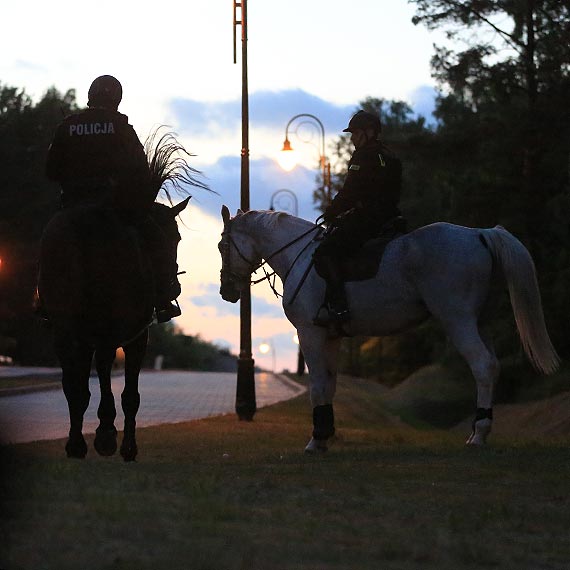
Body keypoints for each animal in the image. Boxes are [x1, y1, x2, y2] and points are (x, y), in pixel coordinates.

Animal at [38, 127, 206, 458]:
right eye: (175, 238)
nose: (174, 286)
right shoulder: (137, 334)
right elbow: (129, 392)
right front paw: (123, 442)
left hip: (65, 324)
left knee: (72, 382)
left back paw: (76, 443)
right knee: (100, 369)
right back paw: (102, 435)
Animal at [217, 206, 560, 450]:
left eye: (222, 246)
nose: (227, 292)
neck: (299, 257)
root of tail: (478, 234)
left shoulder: (310, 334)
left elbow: (317, 386)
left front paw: (316, 439)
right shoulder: (330, 336)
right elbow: (329, 384)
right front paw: (327, 434)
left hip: (458, 319)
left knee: (483, 366)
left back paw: (479, 434)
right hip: (478, 322)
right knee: (493, 365)